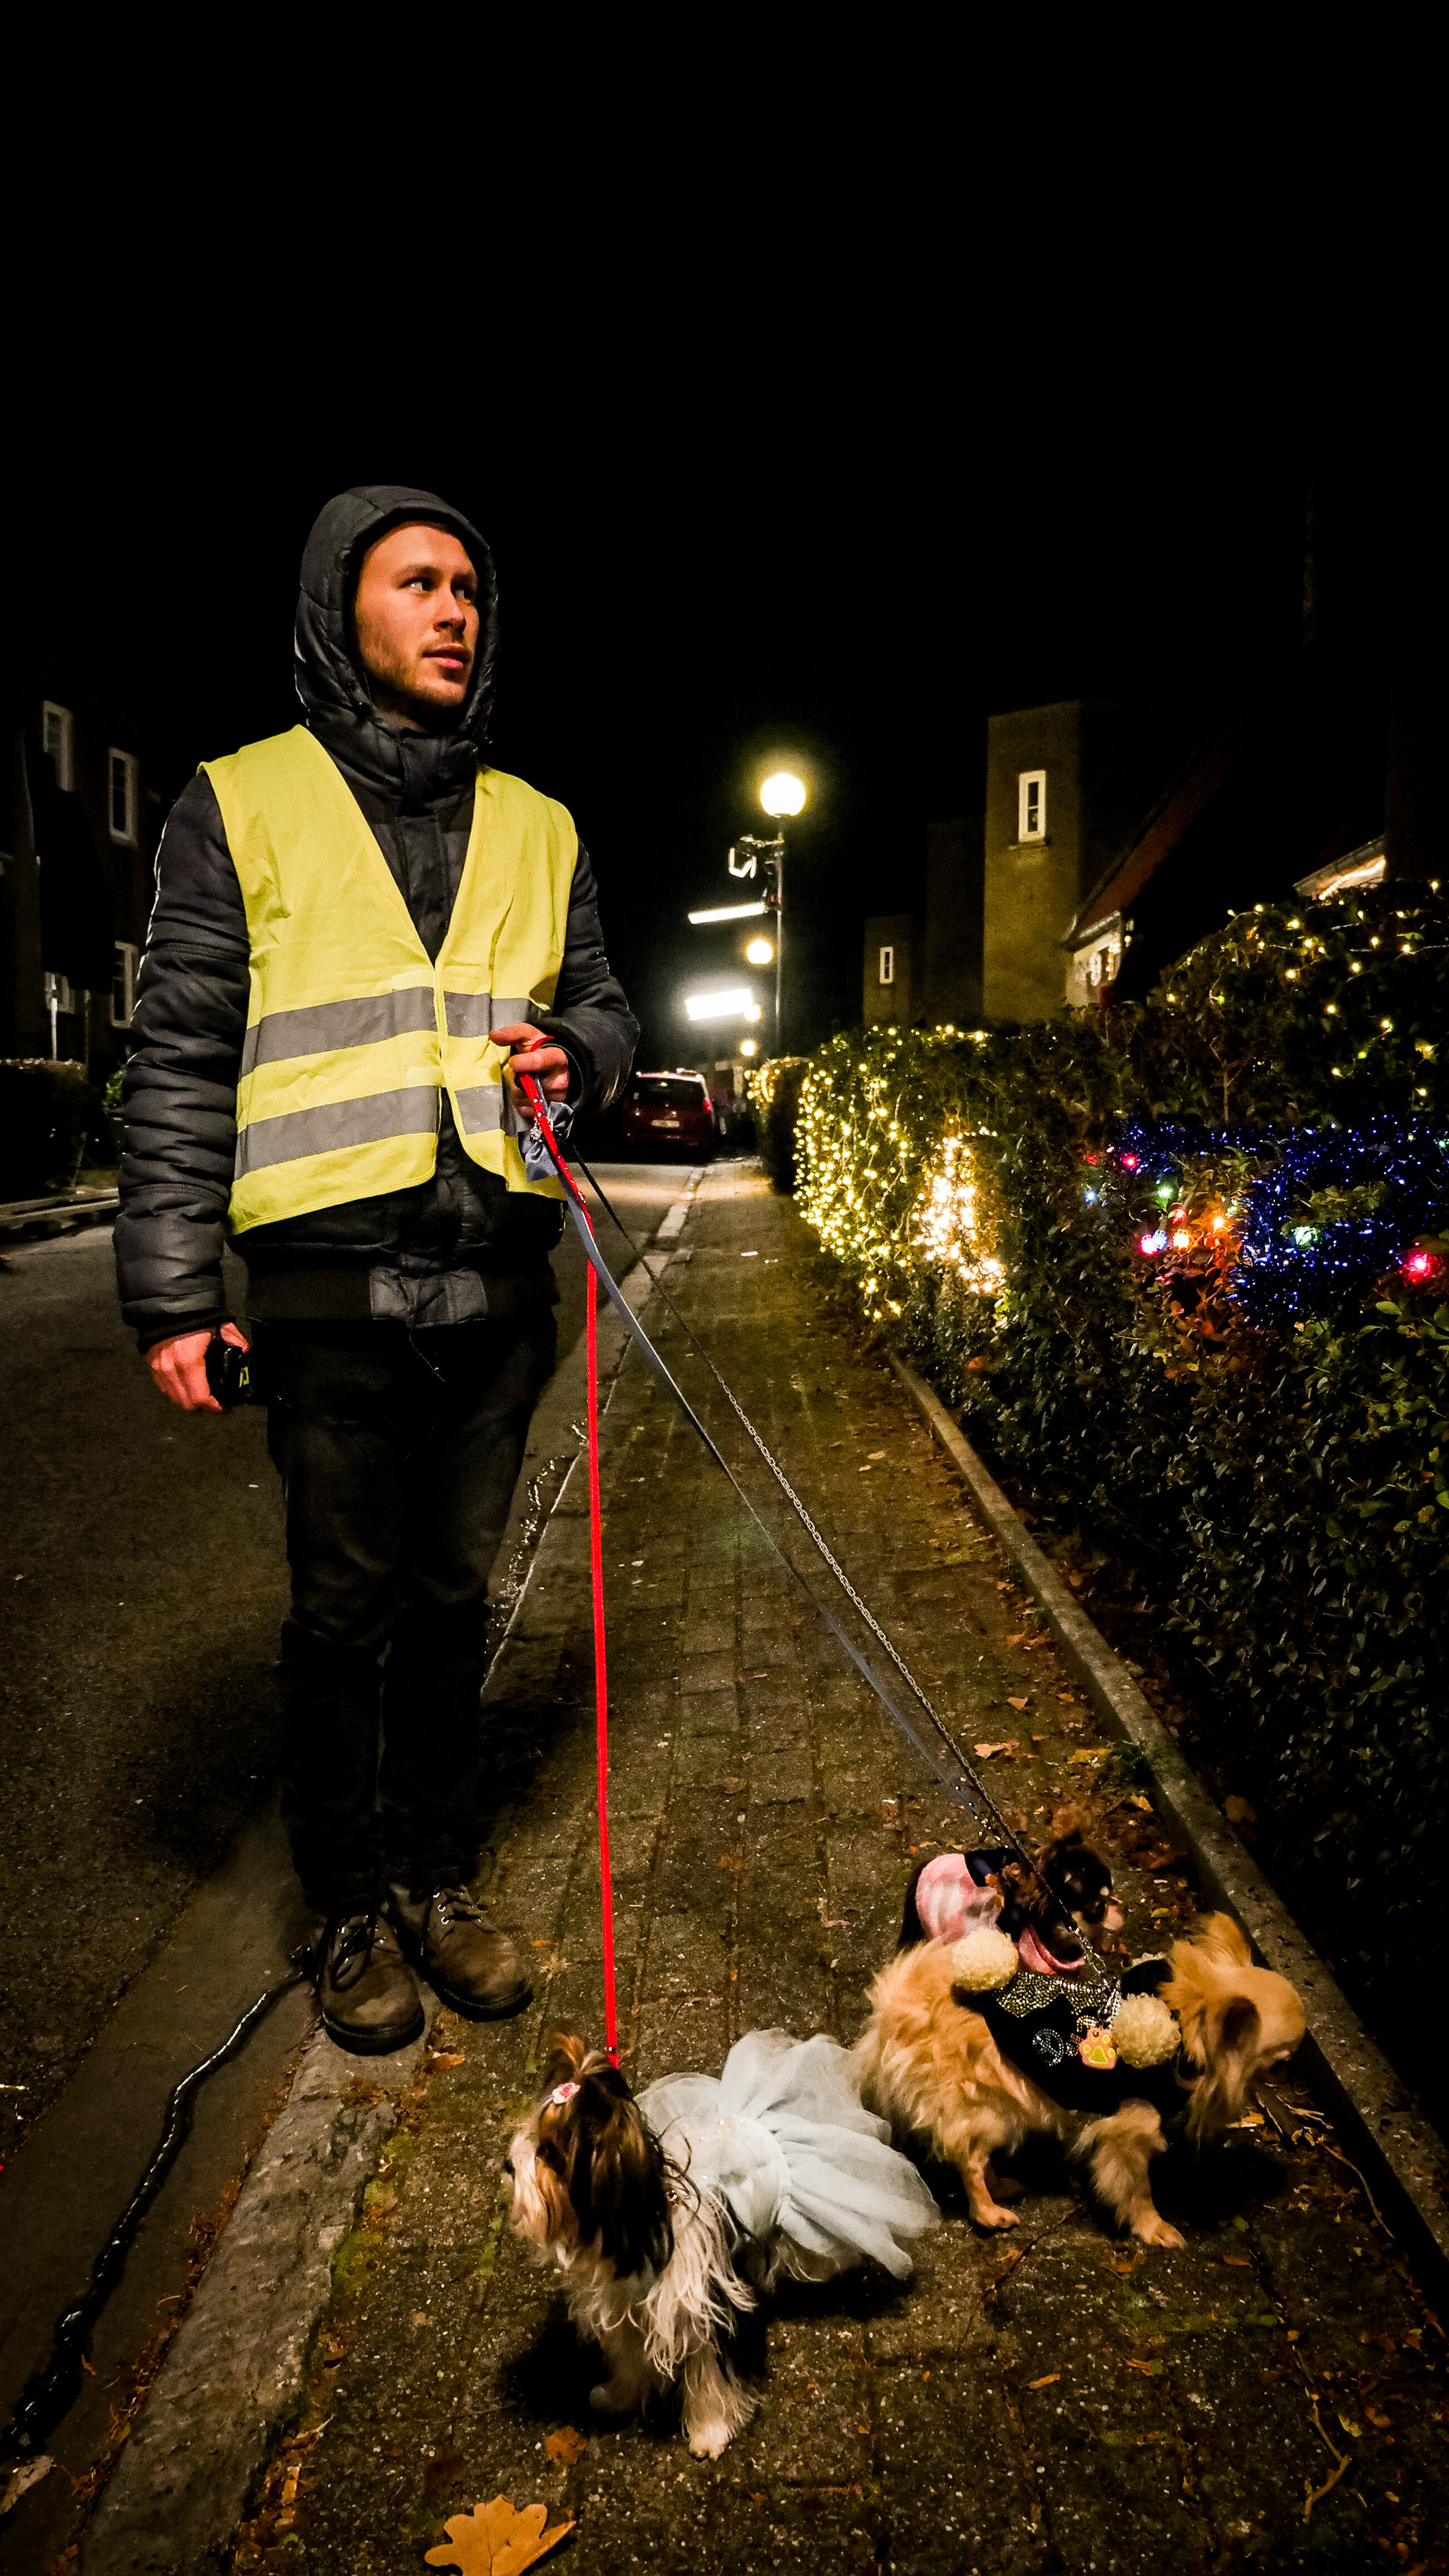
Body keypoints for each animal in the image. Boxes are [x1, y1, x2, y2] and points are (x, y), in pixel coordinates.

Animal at [507, 2027, 939, 2456]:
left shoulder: (706, 2312)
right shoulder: (625, 2308)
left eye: (549, 2153)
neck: (639, 2228)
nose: (509, 2165)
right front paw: (618, 2398)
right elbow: (630, 2360)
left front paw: (710, 2434)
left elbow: (710, 2379)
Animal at [854, 1911, 1304, 2248]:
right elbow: (1136, 2189)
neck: (1185, 2029)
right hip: (988, 2108)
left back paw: (1003, 2186)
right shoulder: (1128, 2134)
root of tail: (902, 2008)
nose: (1295, 2071)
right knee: (970, 2159)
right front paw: (1153, 2227)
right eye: (1281, 2060)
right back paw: (989, 2212)